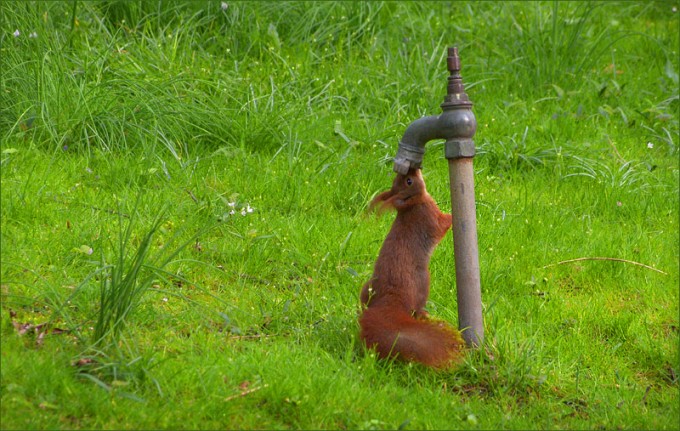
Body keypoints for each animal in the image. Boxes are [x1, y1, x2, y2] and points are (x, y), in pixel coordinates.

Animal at [359, 168, 464, 368]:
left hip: (366, 290)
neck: (411, 206)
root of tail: (391, 300)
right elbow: (444, 223)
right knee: (416, 308)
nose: (414, 169)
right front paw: (457, 215)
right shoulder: (430, 218)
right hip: (422, 282)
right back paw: (423, 313)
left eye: (402, 179)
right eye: (409, 181)